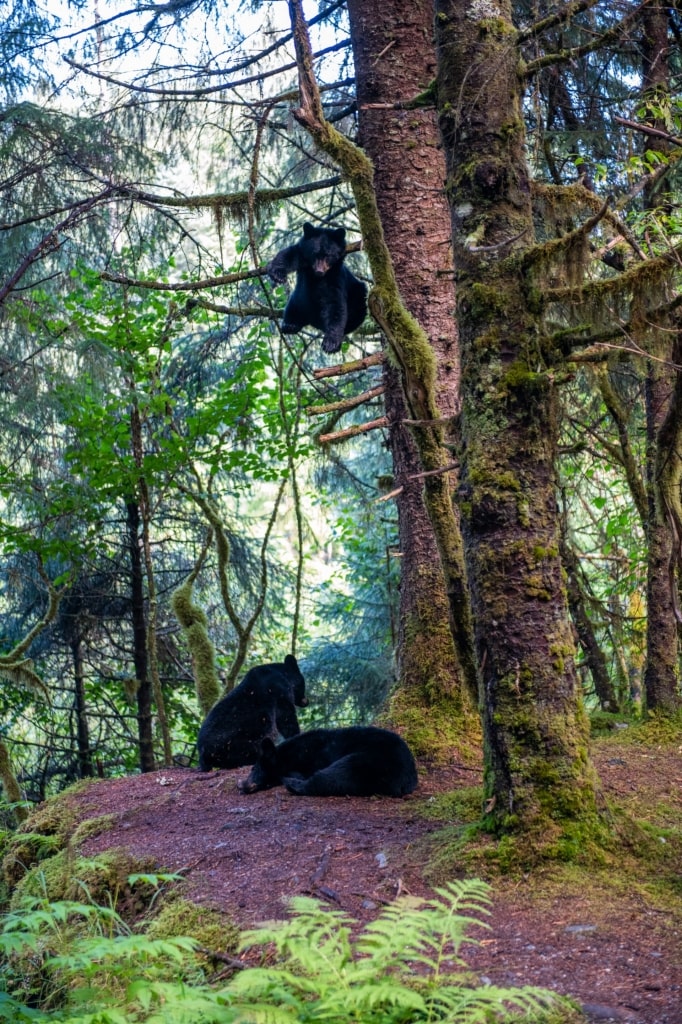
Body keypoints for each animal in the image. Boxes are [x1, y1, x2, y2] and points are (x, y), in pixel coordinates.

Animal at [238, 720, 419, 798]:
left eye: (254, 768)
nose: (242, 785)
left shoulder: (310, 757)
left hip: (371, 761)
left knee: (336, 775)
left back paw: (292, 784)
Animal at [264, 222, 366, 354]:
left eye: (328, 255)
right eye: (314, 254)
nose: (319, 271)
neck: (317, 277)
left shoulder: (335, 278)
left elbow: (335, 305)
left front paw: (331, 343)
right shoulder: (303, 256)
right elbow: (290, 254)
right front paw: (277, 273)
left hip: (359, 295)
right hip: (297, 300)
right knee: (292, 307)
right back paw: (290, 325)